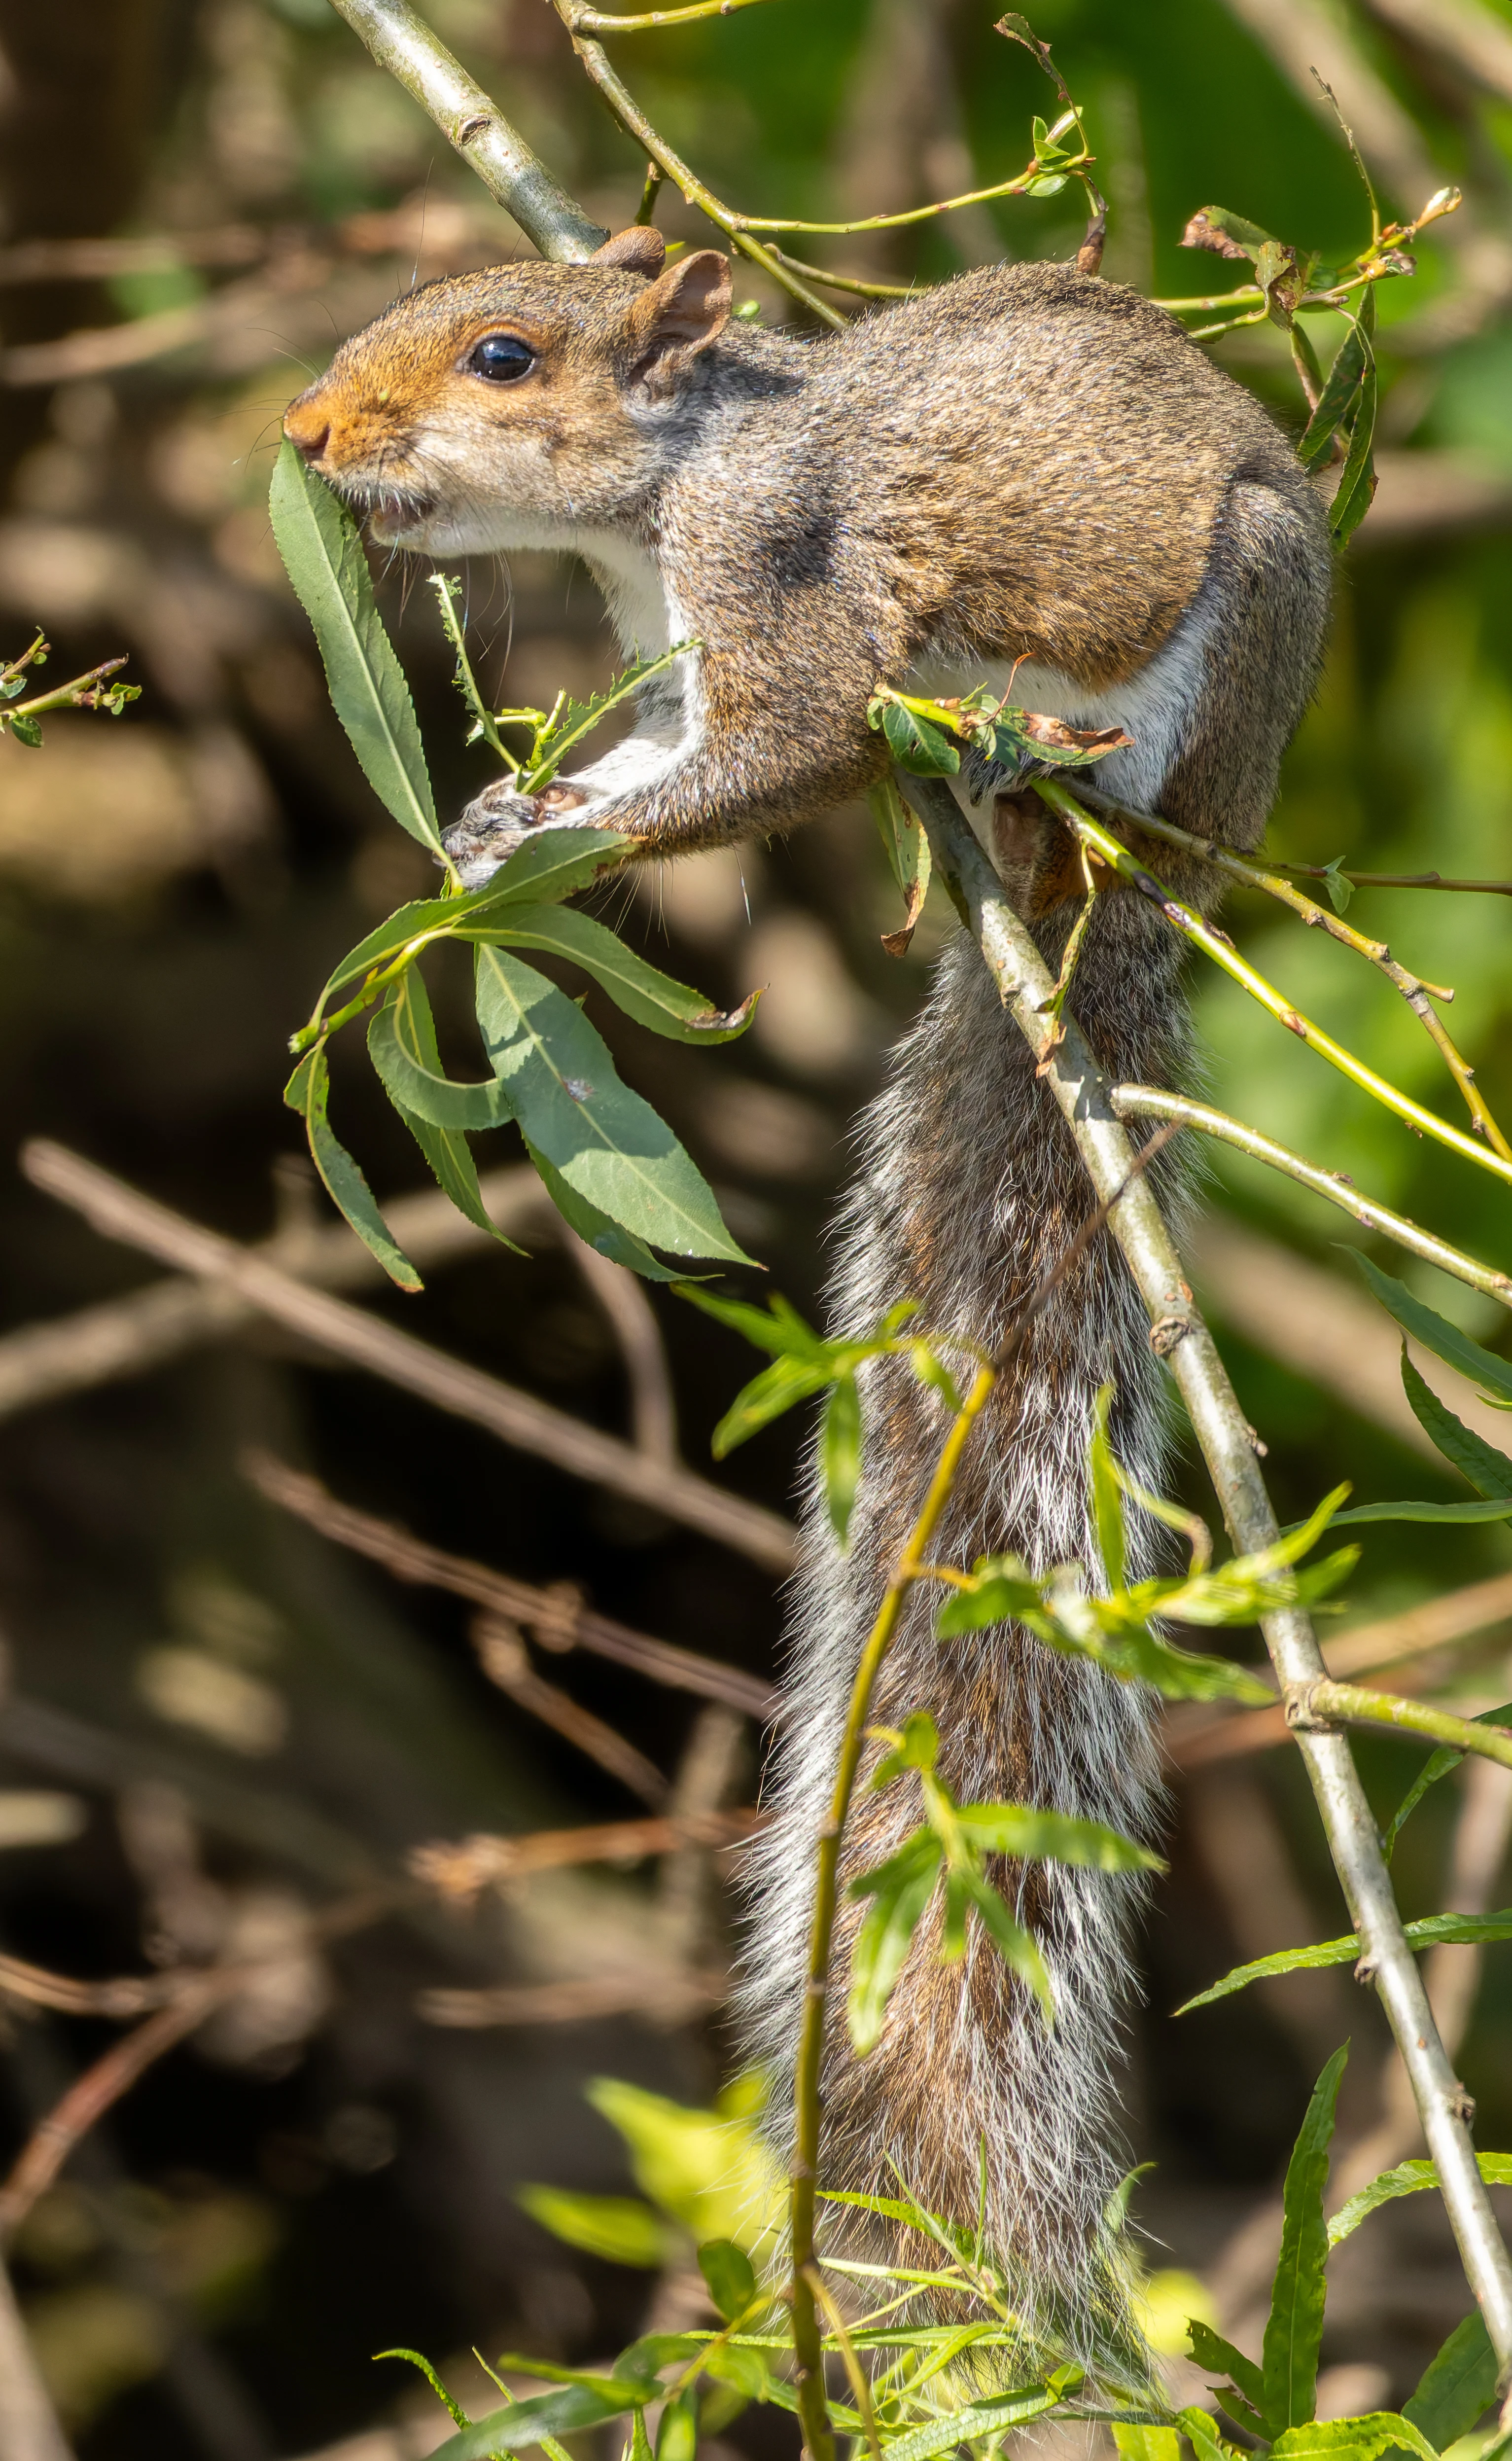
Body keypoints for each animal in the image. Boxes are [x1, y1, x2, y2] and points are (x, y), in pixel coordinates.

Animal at [284, 224, 1331, 2354]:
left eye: (500, 355)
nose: (307, 434)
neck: (671, 475)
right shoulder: (665, 636)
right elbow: (673, 741)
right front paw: (501, 819)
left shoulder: (780, 580)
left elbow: (779, 749)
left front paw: (553, 846)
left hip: (1237, 624)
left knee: (1122, 777)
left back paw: (1043, 765)